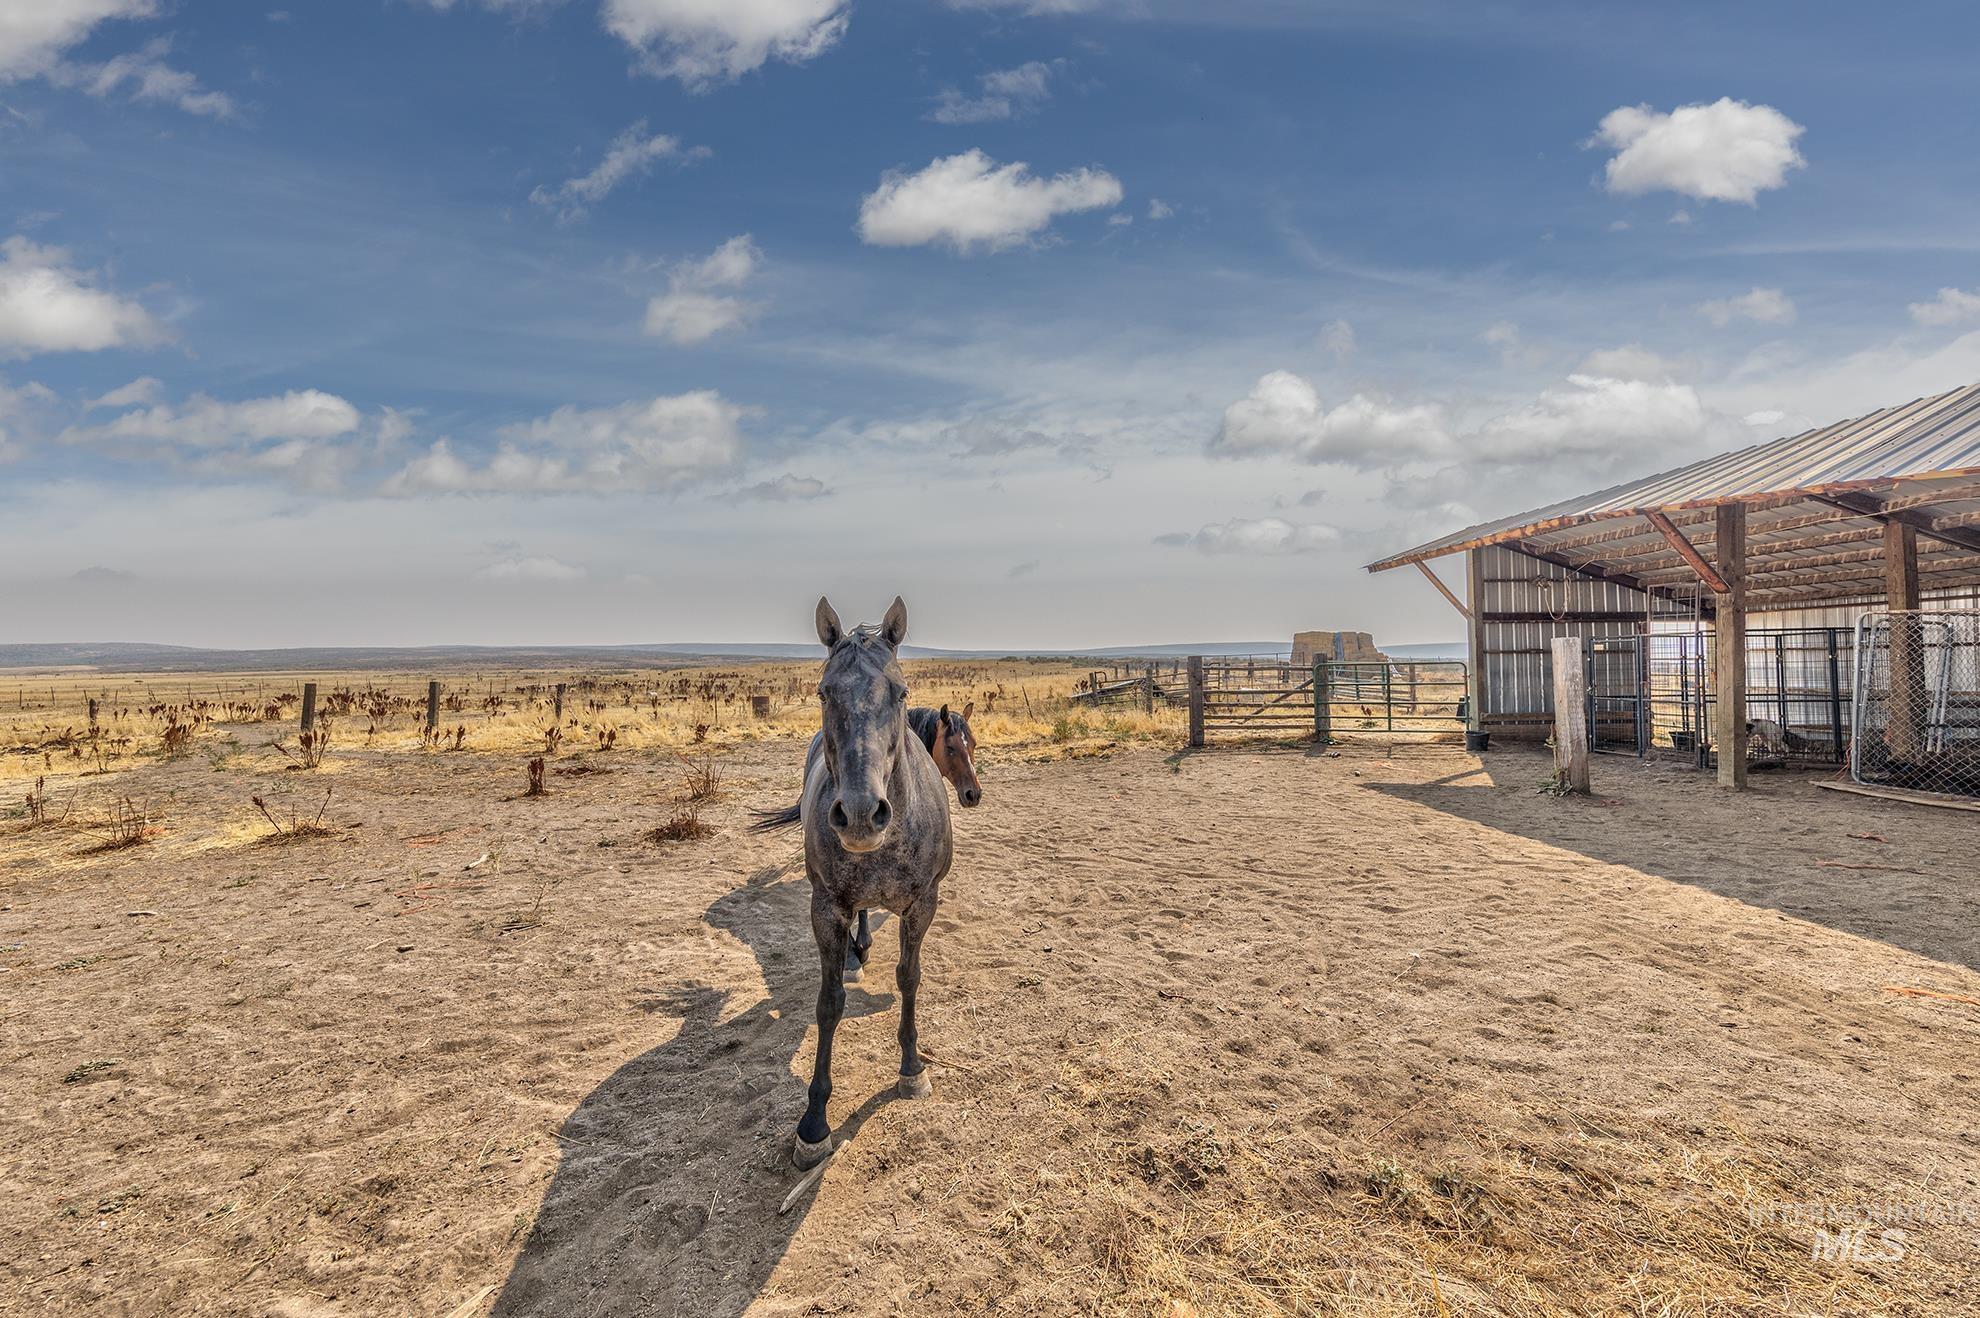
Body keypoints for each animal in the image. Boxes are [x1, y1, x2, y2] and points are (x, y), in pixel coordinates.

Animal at [788, 593, 950, 1163]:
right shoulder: (826, 908)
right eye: (824, 691)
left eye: (900, 692)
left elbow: (909, 977)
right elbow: (829, 1003)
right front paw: (814, 1122)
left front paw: (911, 1068)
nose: (860, 813)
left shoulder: (923, 904)